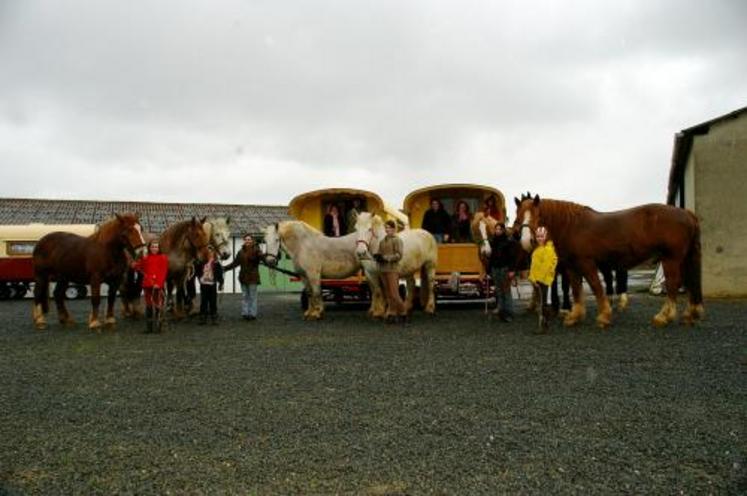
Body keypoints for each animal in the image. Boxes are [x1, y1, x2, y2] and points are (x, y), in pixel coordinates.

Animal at [512, 194, 704, 330]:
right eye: (519, 217)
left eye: (538, 216)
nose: (526, 241)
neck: (572, 226)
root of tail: (687, 213)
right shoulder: (572, 268)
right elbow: (576, 291)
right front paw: (574, 316)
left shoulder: (587, 264)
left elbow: (596, 288)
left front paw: (604, 316)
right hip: (684, 259)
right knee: (691, 282)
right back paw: (690, 315)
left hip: (671, 258)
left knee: (673, 284)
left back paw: (664, 316)